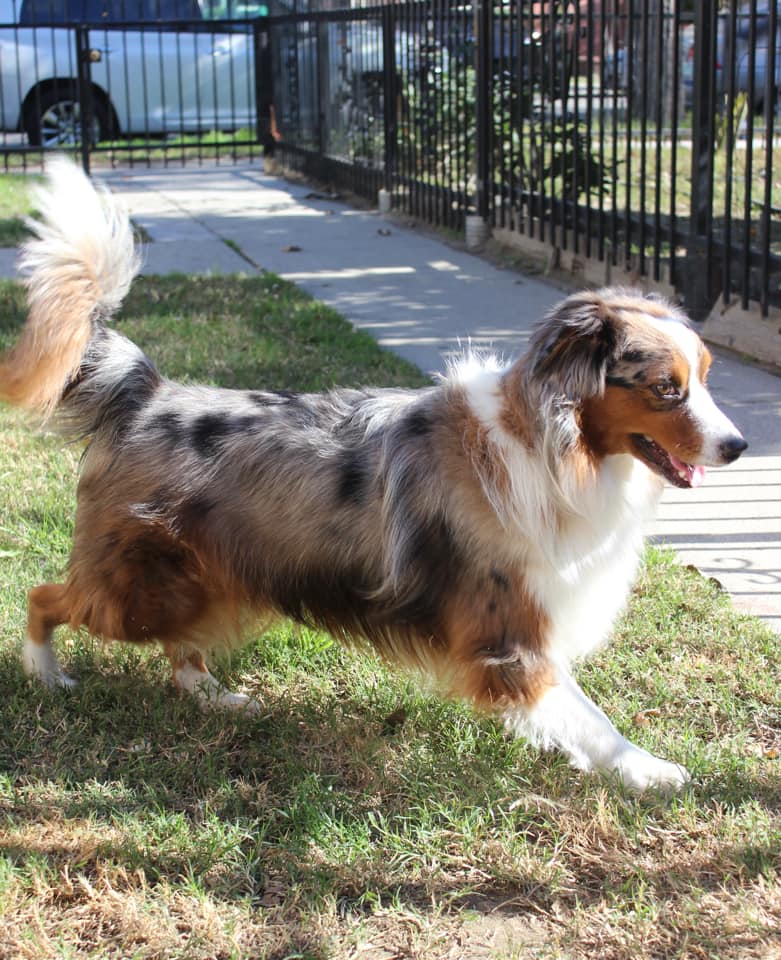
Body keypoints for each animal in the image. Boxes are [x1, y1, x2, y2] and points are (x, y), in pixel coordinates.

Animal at [0, 161, 744, 792]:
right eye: (665, 388)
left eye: (708, 376)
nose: (737, 446)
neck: (552, 443)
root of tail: (148, 393)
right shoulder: (508, 639)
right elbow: (591, 718)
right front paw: (648, 771)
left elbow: (578, 713)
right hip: (141, 589)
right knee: (45, 597)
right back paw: (45, 676)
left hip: (206, 582)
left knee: (178, 650)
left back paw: (216, 695)